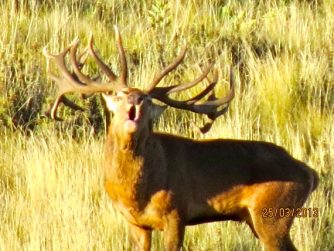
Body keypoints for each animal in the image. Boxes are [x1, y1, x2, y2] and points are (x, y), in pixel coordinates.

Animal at [43, 26, 318, 250]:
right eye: (120, 96)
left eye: (148, 99)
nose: (136, 99)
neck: (137, 192)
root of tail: (310, 173)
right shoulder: (135, 222)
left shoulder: (176, 211)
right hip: (259, 218)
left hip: (273, 213)